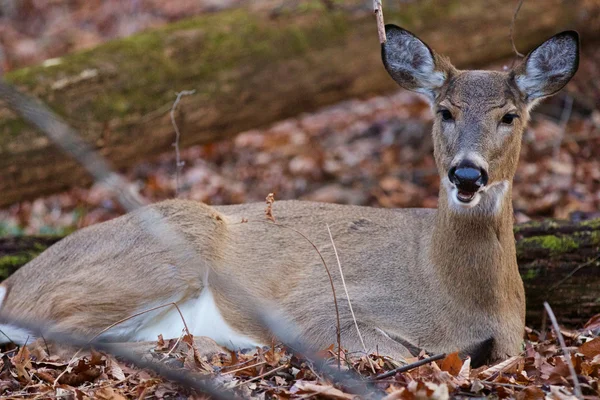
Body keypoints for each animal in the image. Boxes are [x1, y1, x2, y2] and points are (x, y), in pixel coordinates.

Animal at [0, 25, 580, 366]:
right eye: (444, 111)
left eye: (510, 116)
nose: (466, 175)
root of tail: (12, 285)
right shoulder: (321, 307)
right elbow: (393, 352)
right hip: (166, 248)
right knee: (63, 337)